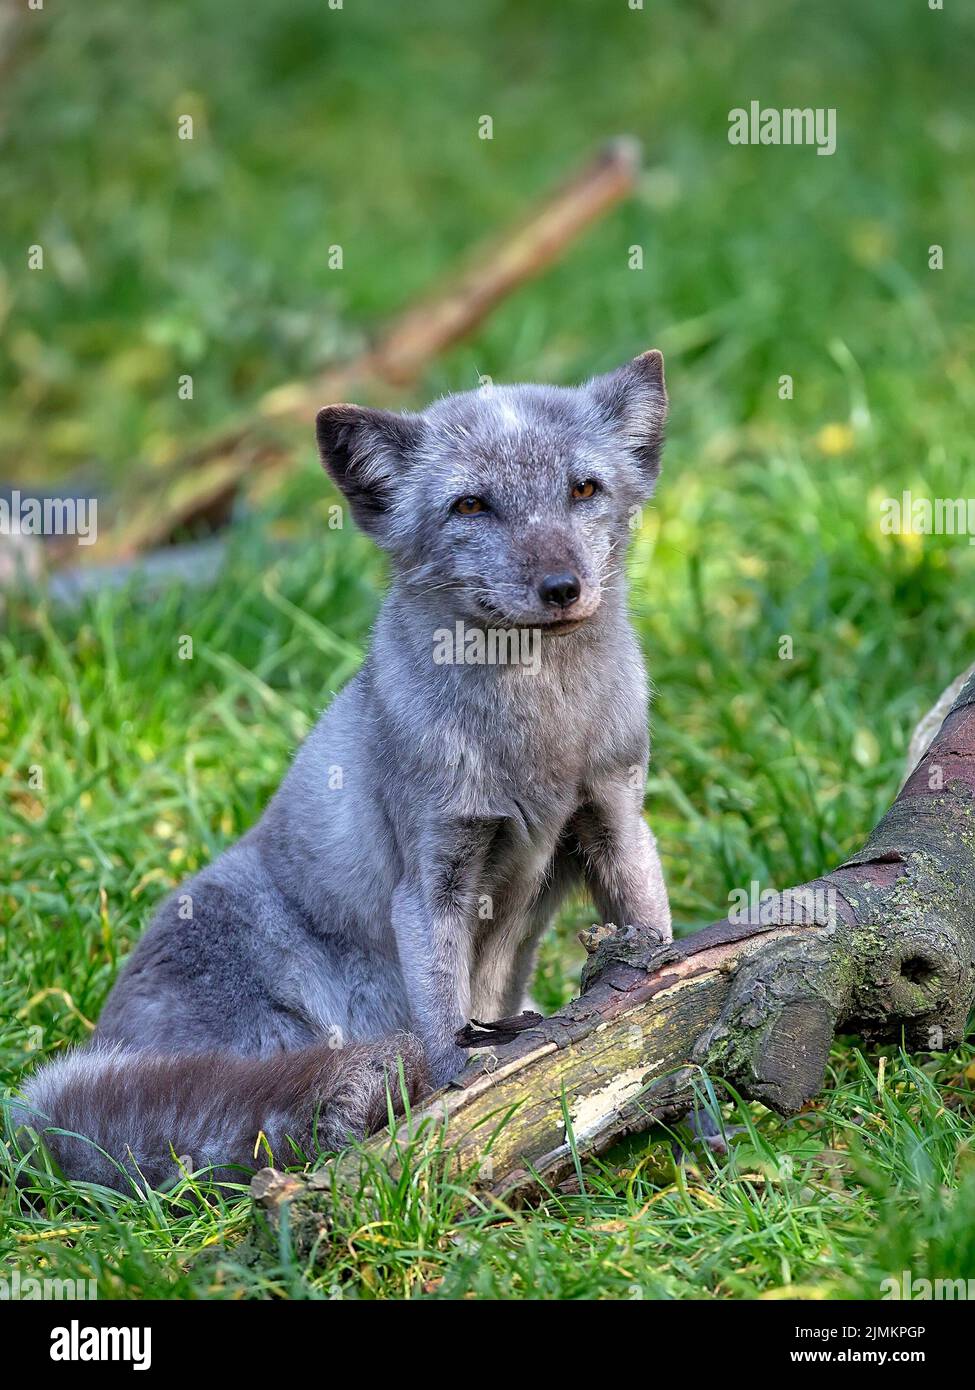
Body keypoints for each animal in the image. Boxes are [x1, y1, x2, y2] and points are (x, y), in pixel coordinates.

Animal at [17, 353, 670, 1189]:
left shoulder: (614, 821)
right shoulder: (430, 880)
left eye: (583, 489)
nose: (561, 588)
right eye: (470, 505)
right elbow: (444, 1025)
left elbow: (653, 933)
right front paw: (469, 1086)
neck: (538, 744)